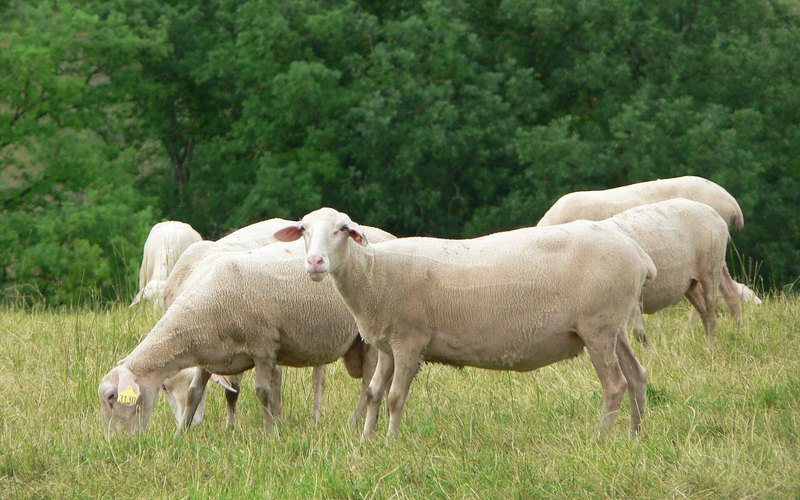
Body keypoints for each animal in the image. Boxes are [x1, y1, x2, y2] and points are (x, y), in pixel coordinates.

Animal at [99, 234, 392, 435]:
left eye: (112, 398)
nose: (115, 443)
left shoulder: (263, 347)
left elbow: (263, 392)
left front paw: (272, 434)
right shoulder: (209, 359)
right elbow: (195, 393)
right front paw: (180, 433)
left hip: (368, 338)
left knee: (366, 384)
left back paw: (355, 424)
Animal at [274, 207, 657, 438]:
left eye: (342, 229)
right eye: (304, 229)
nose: (315, 262)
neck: (374, 274)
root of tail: (639, 255)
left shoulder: (410, 340)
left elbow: (396, 397)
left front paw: (390, 443)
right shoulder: (386, 345)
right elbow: (373, 393)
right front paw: (366, 442)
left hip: (598, 326)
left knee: (615, 384)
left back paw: (600, 439)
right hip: (613, 325)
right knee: (637, 375)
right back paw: (636, 436)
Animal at [591, 199, 730, 346]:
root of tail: (714, 213)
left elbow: (638, 333)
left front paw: (651, 351)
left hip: (712, 269)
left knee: (711, 314)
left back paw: (710, 346)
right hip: (690, 284)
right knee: (703, 312)